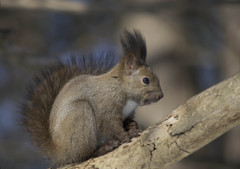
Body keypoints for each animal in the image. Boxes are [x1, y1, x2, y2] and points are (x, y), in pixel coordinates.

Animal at [20, 29, 163, 168]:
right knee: (85, 155)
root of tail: (60, 153)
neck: (120, 87)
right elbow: (110, 125)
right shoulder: (106, 106)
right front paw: (125, 135)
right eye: (146, 80)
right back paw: (104, 148)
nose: (161, 96)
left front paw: (132, 126)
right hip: (80, 116)